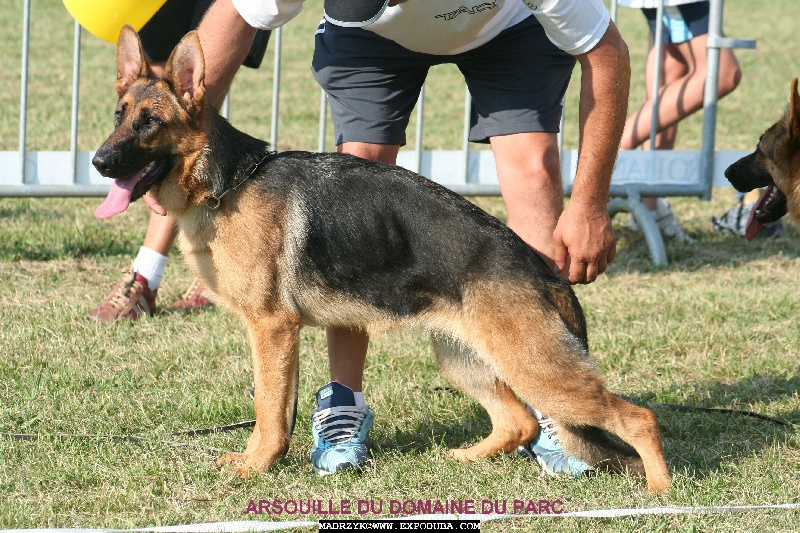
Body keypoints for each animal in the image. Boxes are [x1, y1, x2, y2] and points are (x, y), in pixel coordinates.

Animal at [90, 23, 672, 490]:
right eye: (119, 115)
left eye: (149, 122)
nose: (99, 161)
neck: (229, 182)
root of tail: (544, 268)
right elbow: (270, 404)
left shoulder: (273, 329)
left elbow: (268, 409)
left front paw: (256, 466)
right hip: (463, 358)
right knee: (519, 422)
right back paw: (467, 457)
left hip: (537, 369)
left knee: (637, 418)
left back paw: (661, 493)